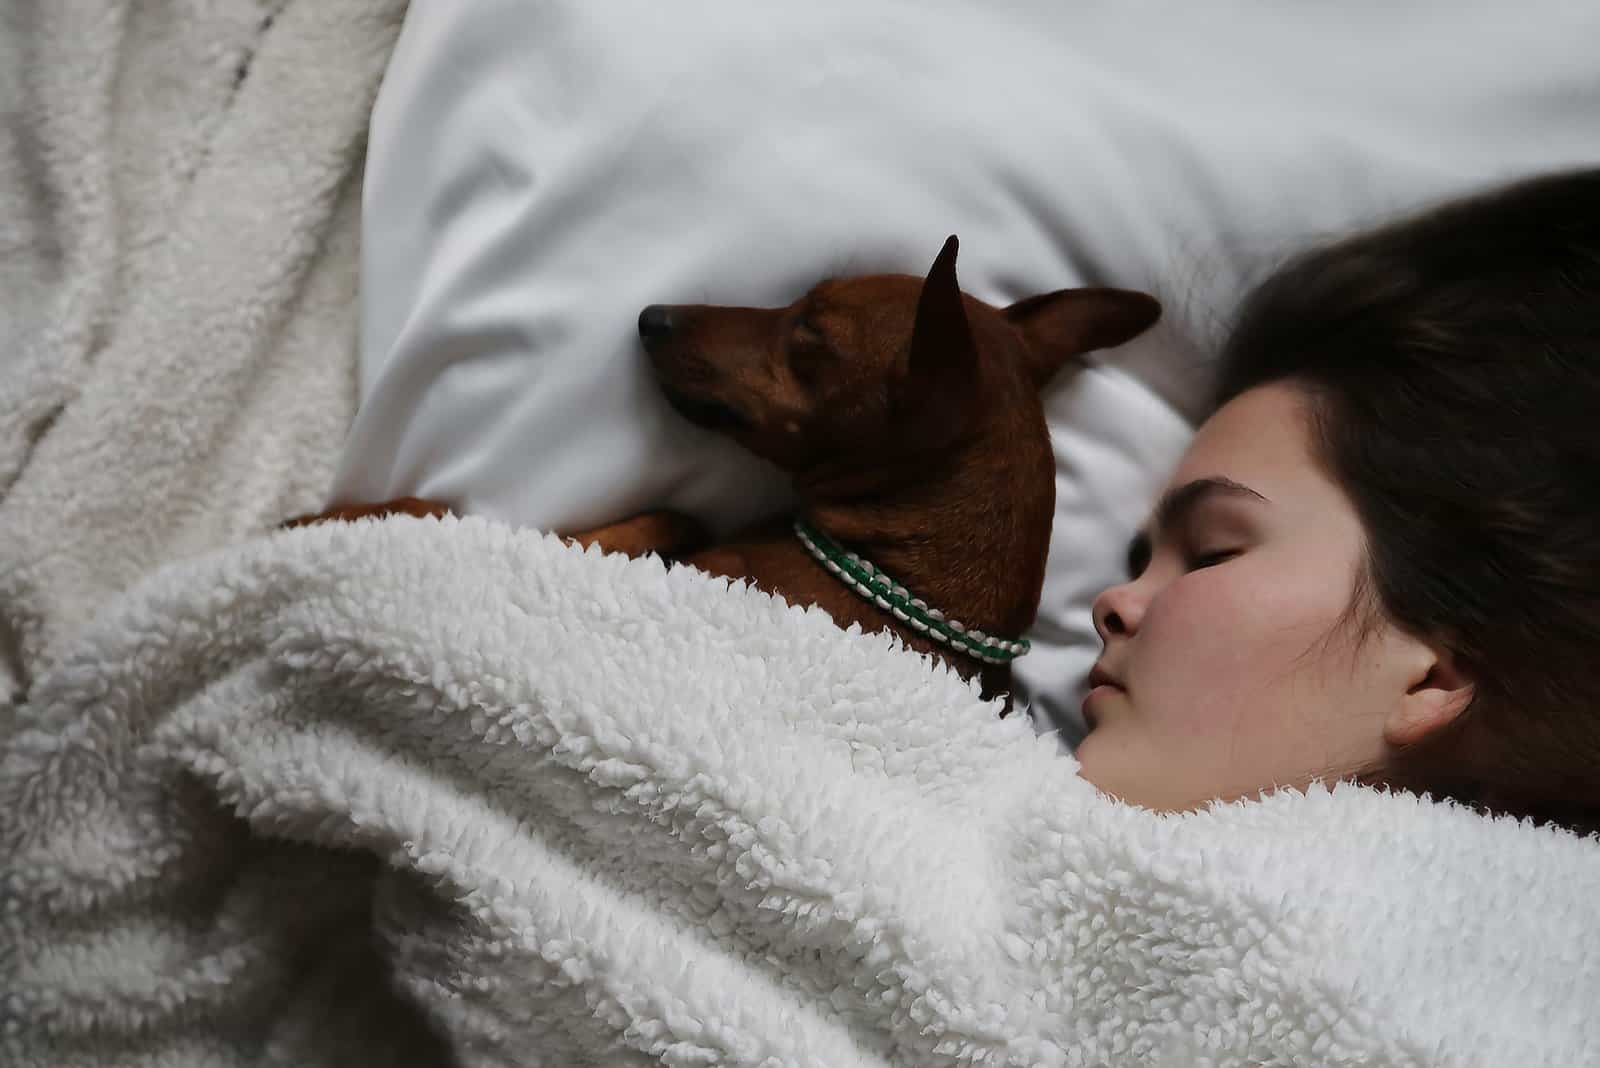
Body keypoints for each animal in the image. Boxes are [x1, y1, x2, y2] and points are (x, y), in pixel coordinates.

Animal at [291, 238, 1164, 713]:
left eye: (807, 334)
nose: (653, 317)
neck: (905, 586)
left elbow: (453, 519)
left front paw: (321, 524)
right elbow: (666, 518)